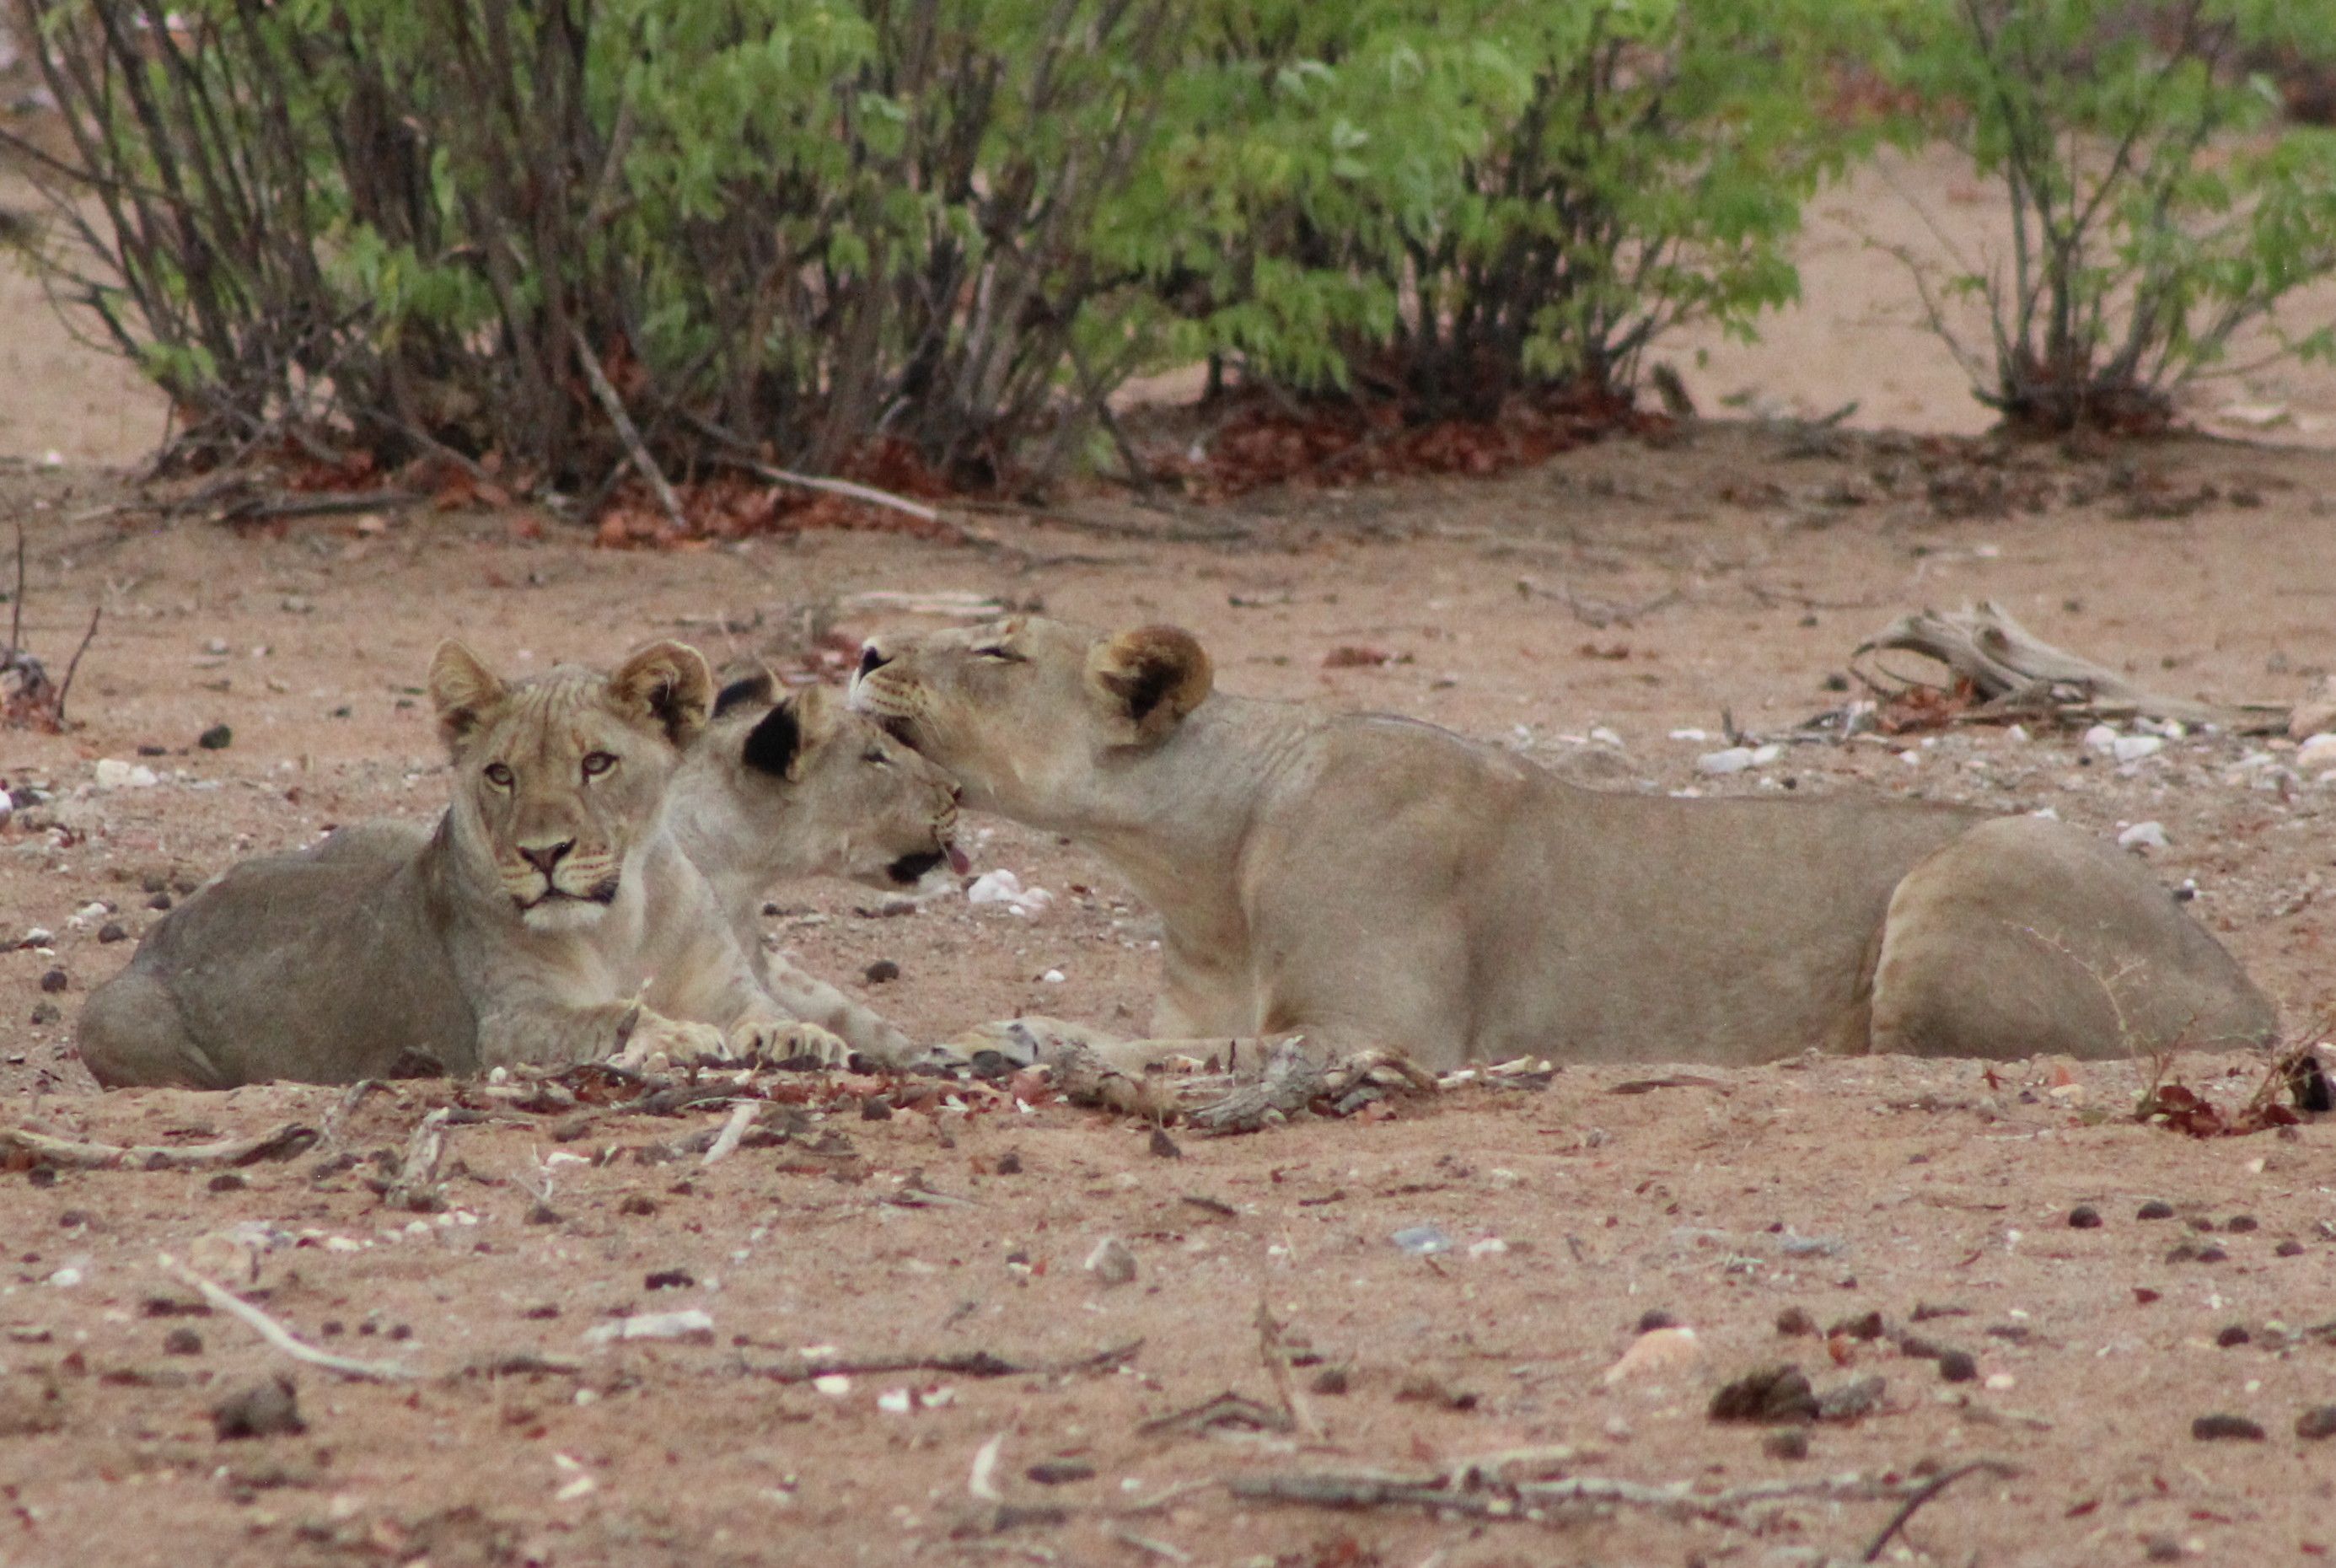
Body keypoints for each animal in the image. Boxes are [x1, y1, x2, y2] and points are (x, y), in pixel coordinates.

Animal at [78, 641, 837, 1089]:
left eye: (597, 763)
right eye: (501, 774)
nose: (543, 854)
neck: (623, 919)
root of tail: (161, 930)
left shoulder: (722, 983)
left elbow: (760, 1009)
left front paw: (801, 1036)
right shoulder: (505, 1025)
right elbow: (606, 1014)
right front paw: (674, 1034)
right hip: (113, 1019)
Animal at [851, 615, 2275, 1111]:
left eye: (995, 649)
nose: (862, 651)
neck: (1200, 864)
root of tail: (2253, 1002)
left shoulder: (1391, 1026)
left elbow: (1200, 1051)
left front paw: (1019, 1036)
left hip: (1959, 879)